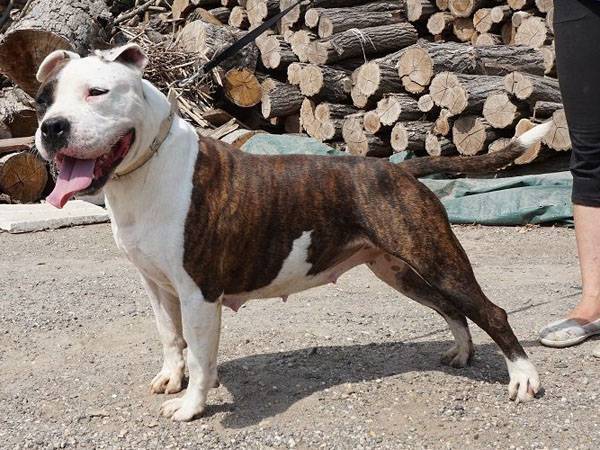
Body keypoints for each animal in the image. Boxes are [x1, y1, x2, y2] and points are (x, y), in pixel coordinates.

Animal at [34, 44, 551, 421]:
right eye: (44, 100)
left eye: (97, 92)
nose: (51, 128)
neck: (146, 167)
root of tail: (400, 169)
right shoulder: (157, 285)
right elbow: (170, 338)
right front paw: (171, 379)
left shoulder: (199, 291)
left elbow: (201, 356)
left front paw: (191, 406)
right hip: (400, 270)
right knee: (453, 309)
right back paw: (461, 352)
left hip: (436, 259)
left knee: (490, 310)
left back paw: (524, 378)